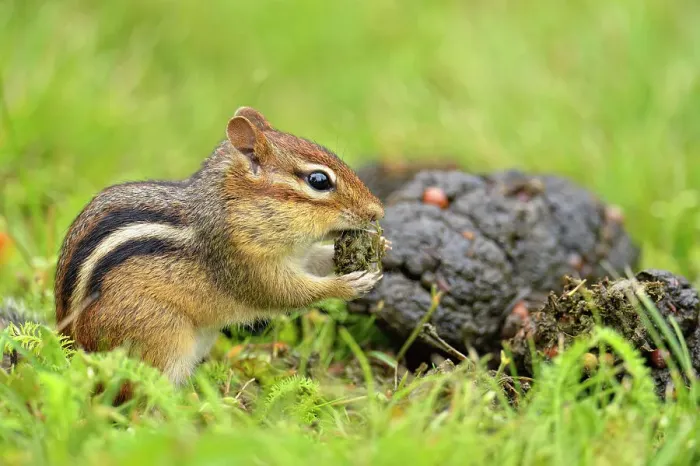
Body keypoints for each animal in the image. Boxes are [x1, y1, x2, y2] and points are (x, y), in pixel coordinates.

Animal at [53, 107, 386, 385]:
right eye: (318, 180)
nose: (378, 211)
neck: (235, 206)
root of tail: (72, 351)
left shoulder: (296, 255)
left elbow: (315, 260)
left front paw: (381, 243)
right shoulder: (239, 260)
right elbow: (284, 292)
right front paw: (348, 285)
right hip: (159, 334)